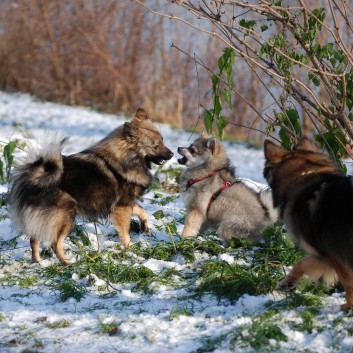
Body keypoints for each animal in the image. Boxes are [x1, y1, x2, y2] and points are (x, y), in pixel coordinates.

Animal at [8, 108, 173, 262]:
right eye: (156, 146)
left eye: (163, 141)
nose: (172, 154)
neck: (125, 158)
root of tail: (34, 177)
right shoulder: (122, 206)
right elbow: (125, 232)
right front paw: (130, 250)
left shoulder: (125, 202)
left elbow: (141, 210)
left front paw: (145, 226)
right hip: (66, 215)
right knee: (55, 244)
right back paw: (67, 263)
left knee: (34, 240)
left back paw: (39, 262)